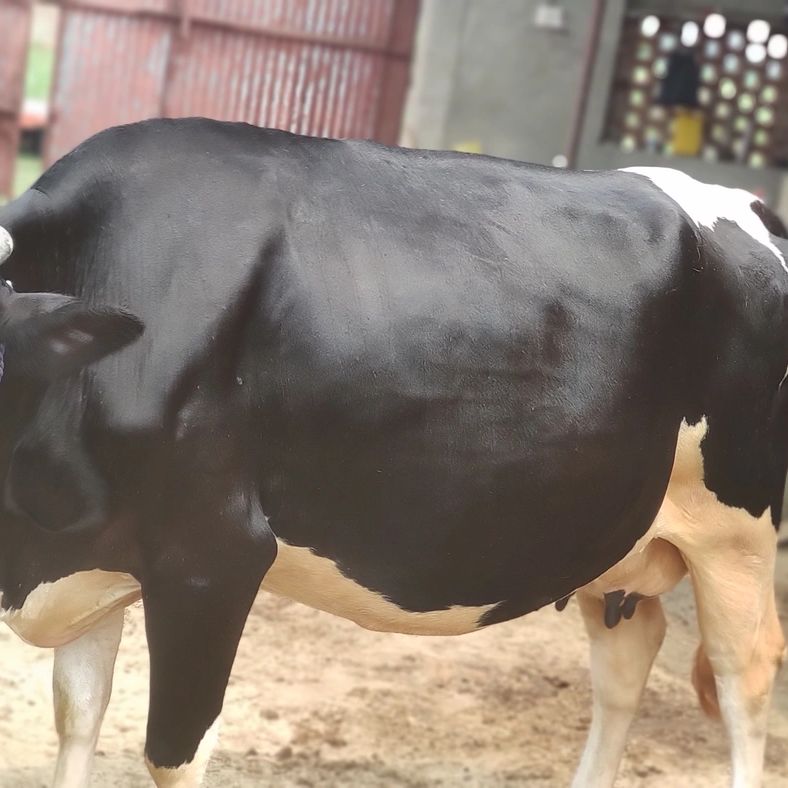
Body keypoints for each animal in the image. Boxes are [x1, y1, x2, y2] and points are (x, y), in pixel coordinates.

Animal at [0, 117, 785, 788]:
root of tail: (749, 205)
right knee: (628, 658)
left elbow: (171, 754)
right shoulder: (90, 560)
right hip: (615, 529)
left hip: (736, 532)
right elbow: (77, 716)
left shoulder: (210, 558)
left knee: (745, 673)